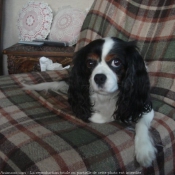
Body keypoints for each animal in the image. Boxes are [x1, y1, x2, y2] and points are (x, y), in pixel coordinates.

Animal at [22, 37, 156, 167]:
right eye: (90, 63)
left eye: (116, 62)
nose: (99, 77)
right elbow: (98, 116)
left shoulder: (142, 105)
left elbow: (141, 124)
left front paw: (144, 151)